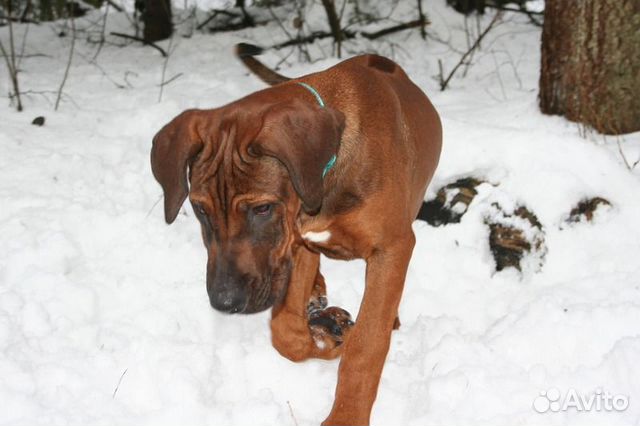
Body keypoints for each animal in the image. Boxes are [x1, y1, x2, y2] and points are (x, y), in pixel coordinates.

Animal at [151, 45, 442, 424]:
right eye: (200, 209)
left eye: (262, 208)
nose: (224, 303)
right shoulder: (298, 242)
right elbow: (285, 330)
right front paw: (325, 338)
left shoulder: (391, 247)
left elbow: (367, 344)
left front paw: (346, 415)